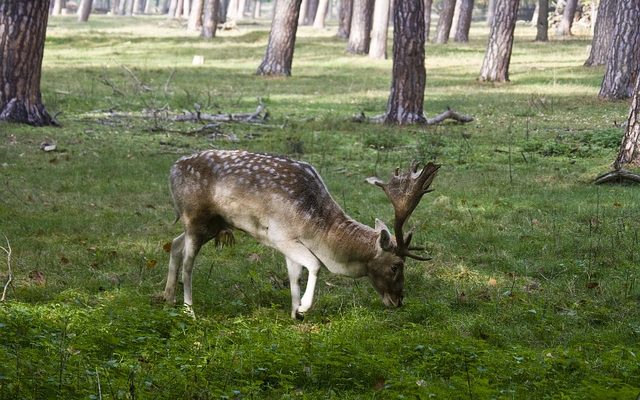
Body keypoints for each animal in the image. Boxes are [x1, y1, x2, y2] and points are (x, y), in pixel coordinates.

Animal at [162, 150, 438, 318]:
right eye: (396, 266)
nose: (399, 301)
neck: (317, 232)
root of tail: (172, 170)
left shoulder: (290, 243)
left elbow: (294, 275)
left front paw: (294, 312)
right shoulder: (281, 235)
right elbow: (314, 265)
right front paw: (304, 307)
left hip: (211, 224)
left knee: (175, 244)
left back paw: (168, 298)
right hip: (195, 217)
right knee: (188, 262)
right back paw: (189, 310)